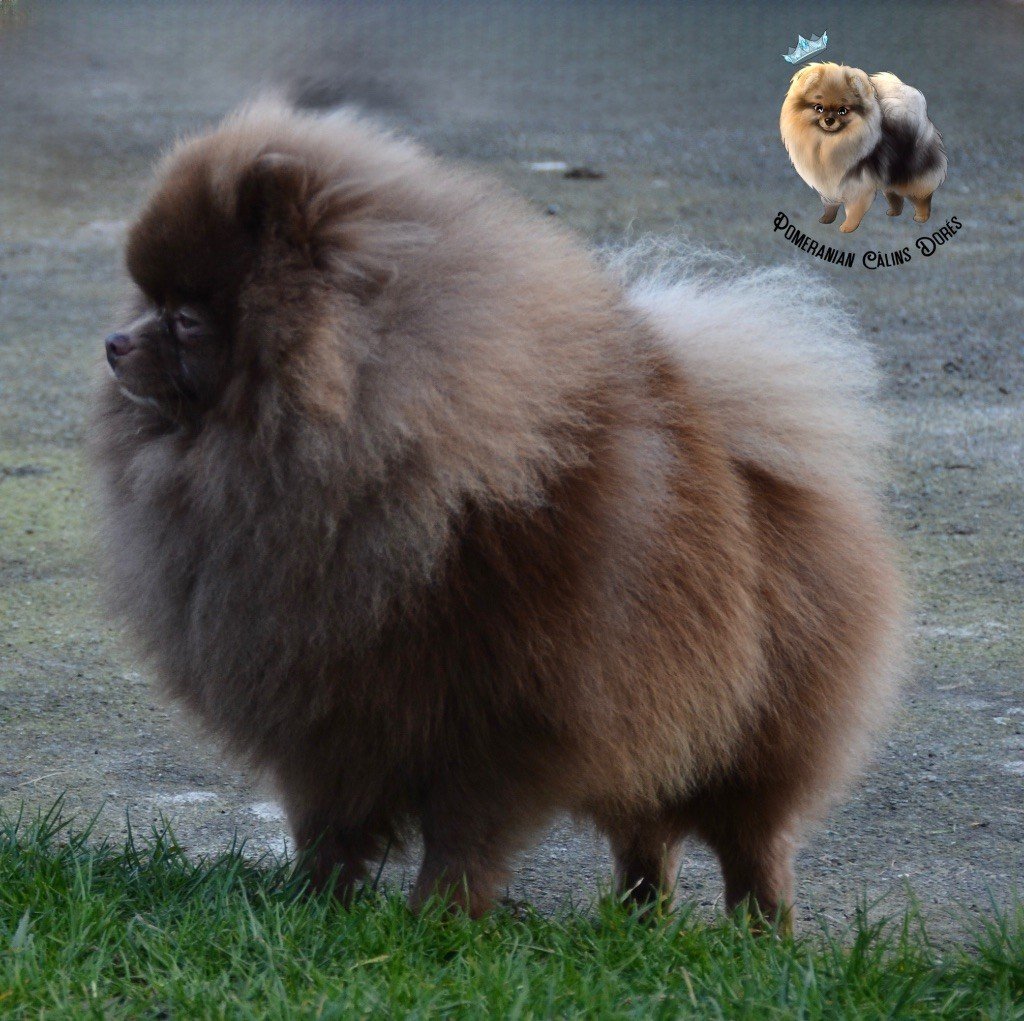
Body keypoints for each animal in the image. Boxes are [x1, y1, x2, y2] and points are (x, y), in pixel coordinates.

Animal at [90, 97, 905, 925]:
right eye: (148, 299)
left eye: (188, 318)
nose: (115, 341)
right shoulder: (327, 715)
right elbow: (331, 824)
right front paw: (314, 903)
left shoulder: (498, 715)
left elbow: (464, 833)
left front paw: (436, 917)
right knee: (648, 833)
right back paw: (637, 917)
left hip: (749, 730)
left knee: (754, 841)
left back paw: (761, 929)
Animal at [782, 61, 942, 233]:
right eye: (819, 108)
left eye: (843, 110)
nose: (829, 120)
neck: (827, 144)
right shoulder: (830, 184)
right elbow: (830, 205)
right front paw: (826, 219)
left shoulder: (857, 186)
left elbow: (853, 209)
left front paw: (847, 227)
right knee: (894, 194)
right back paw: (894, 212)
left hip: (911, 175)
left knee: (922, 197)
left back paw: (921, 217)